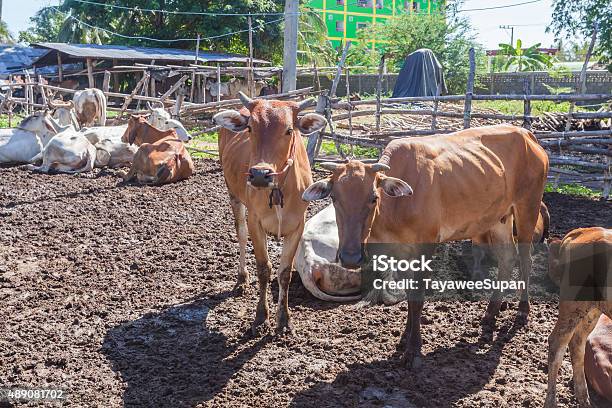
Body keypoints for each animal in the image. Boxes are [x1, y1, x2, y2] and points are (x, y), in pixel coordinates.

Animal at [212, 92, 326, 334]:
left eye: (289, 130)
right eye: (250, 128)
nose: (259, 174)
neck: (279, 188)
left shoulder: (298, 225)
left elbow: (284, 273)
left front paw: (283, 320)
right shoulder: (256, 222)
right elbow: (264, 268)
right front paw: (261, 317)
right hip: (233, 195)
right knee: (241, 234)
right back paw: (241, 279)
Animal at [304, 124, 548, 366]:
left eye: (373, 197)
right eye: (334, 198)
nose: (350, 257)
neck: (396, 207)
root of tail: (527, 134)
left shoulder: (425, 246)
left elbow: (418, 298)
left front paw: (413, 349)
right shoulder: (400, 252)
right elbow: (409, 296)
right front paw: (404, 338)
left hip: (528, 207)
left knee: (525, 259)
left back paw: (522, 310)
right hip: (500, 218)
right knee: (507, 259)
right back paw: (490, 313)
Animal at [544, 228, 612, 406]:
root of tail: (584, 231)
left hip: (592, 310)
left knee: (577, 343)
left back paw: (584, 400)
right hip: (573, 305)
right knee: (557, 343)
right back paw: (551, 402)